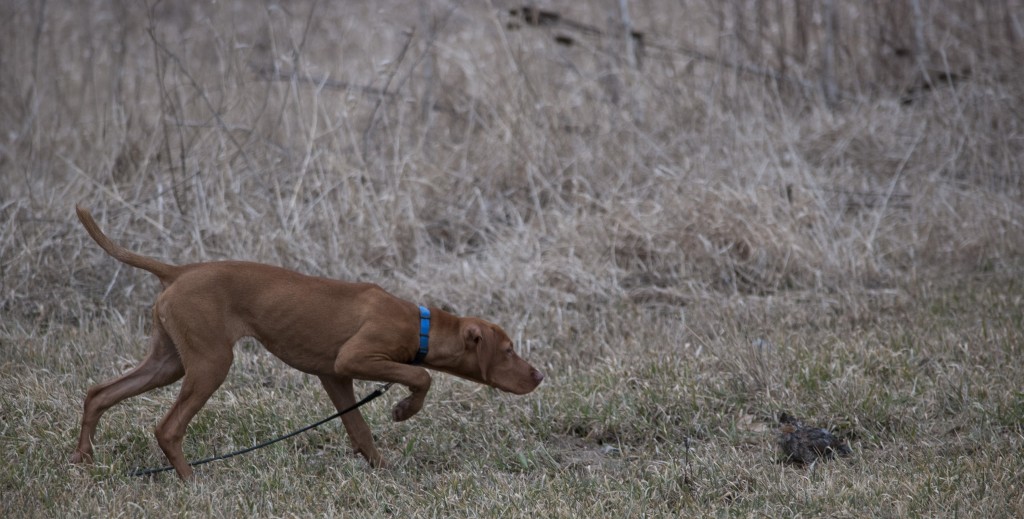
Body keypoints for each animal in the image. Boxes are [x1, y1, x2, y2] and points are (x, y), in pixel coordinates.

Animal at [70, 205, 544, 479]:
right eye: (508, 351)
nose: (539, 376)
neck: (421, 323)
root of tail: (179, 271)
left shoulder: (335, 376)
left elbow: (359, 428)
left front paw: (382, 468)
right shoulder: (355, 358)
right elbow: (422, 376)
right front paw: (404, 409)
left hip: (170, 362)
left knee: (98, 393)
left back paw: (83, 459)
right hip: (209, 364)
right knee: (167, 428)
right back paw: (190, 480)